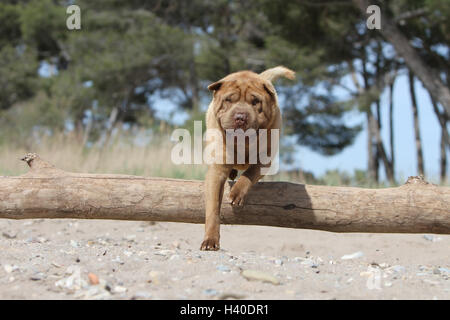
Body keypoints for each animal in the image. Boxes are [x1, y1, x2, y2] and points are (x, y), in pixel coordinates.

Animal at [200, 65, 296, 250]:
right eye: (228, 100)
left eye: (255, 101)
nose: (240, 117)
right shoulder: (217, 170)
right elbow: (213, 208)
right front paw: (210, 241)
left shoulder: (265, 159)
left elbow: (249, 174)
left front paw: (236, 194)